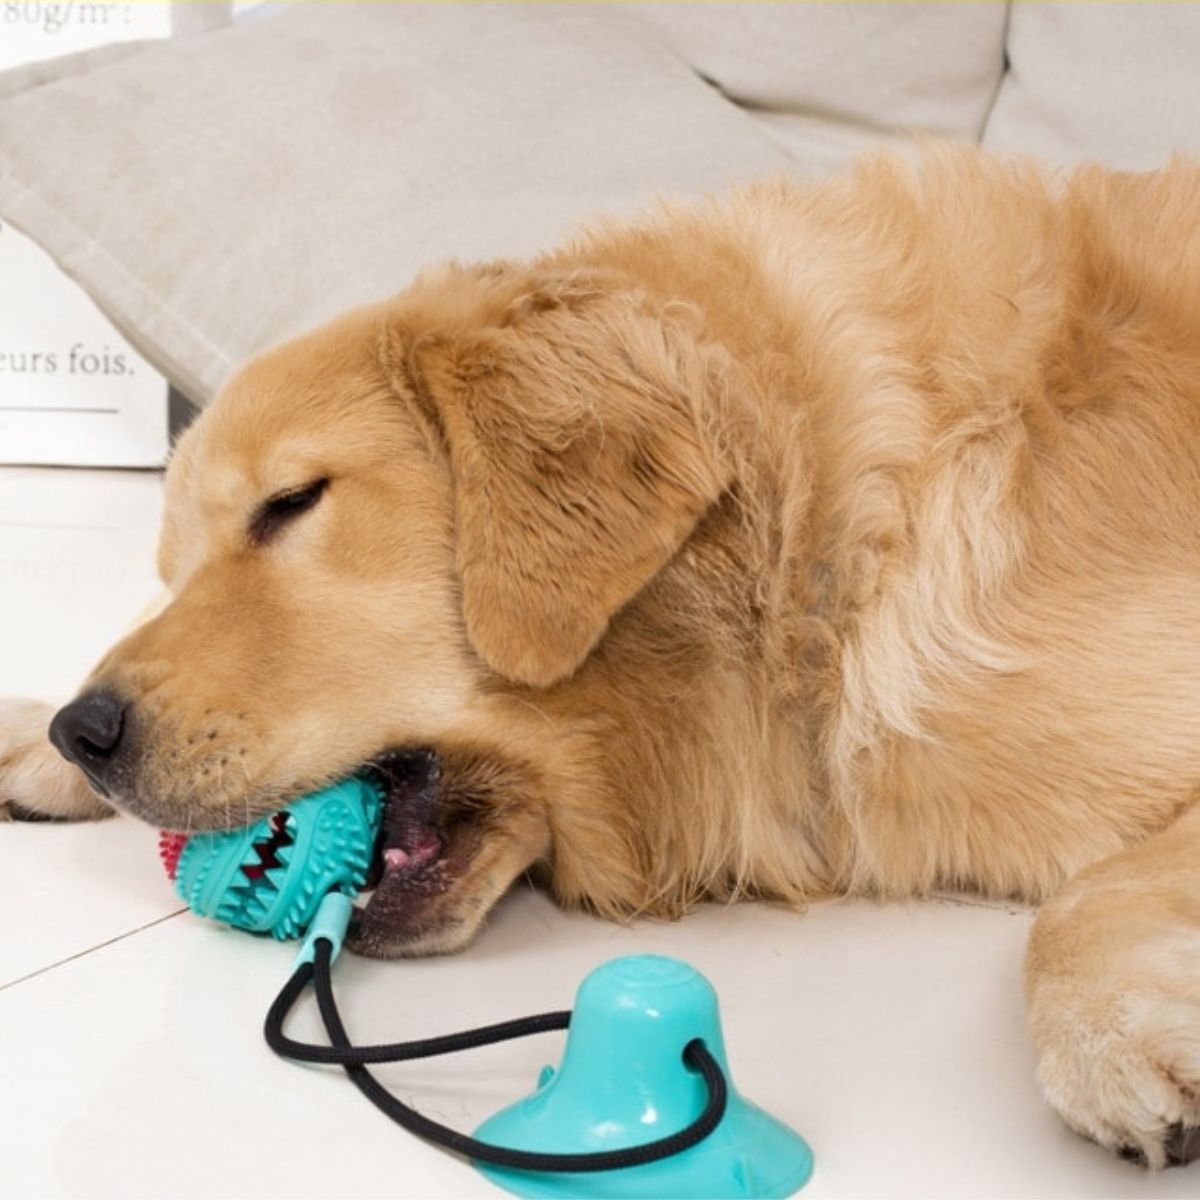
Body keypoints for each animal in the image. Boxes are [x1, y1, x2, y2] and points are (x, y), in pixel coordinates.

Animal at [2, 145, 1200, 1166]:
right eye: (172, 568)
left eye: (292, 502)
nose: (88, 731)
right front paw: (30, 738)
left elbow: (1080, 904)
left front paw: (1116, 1038)